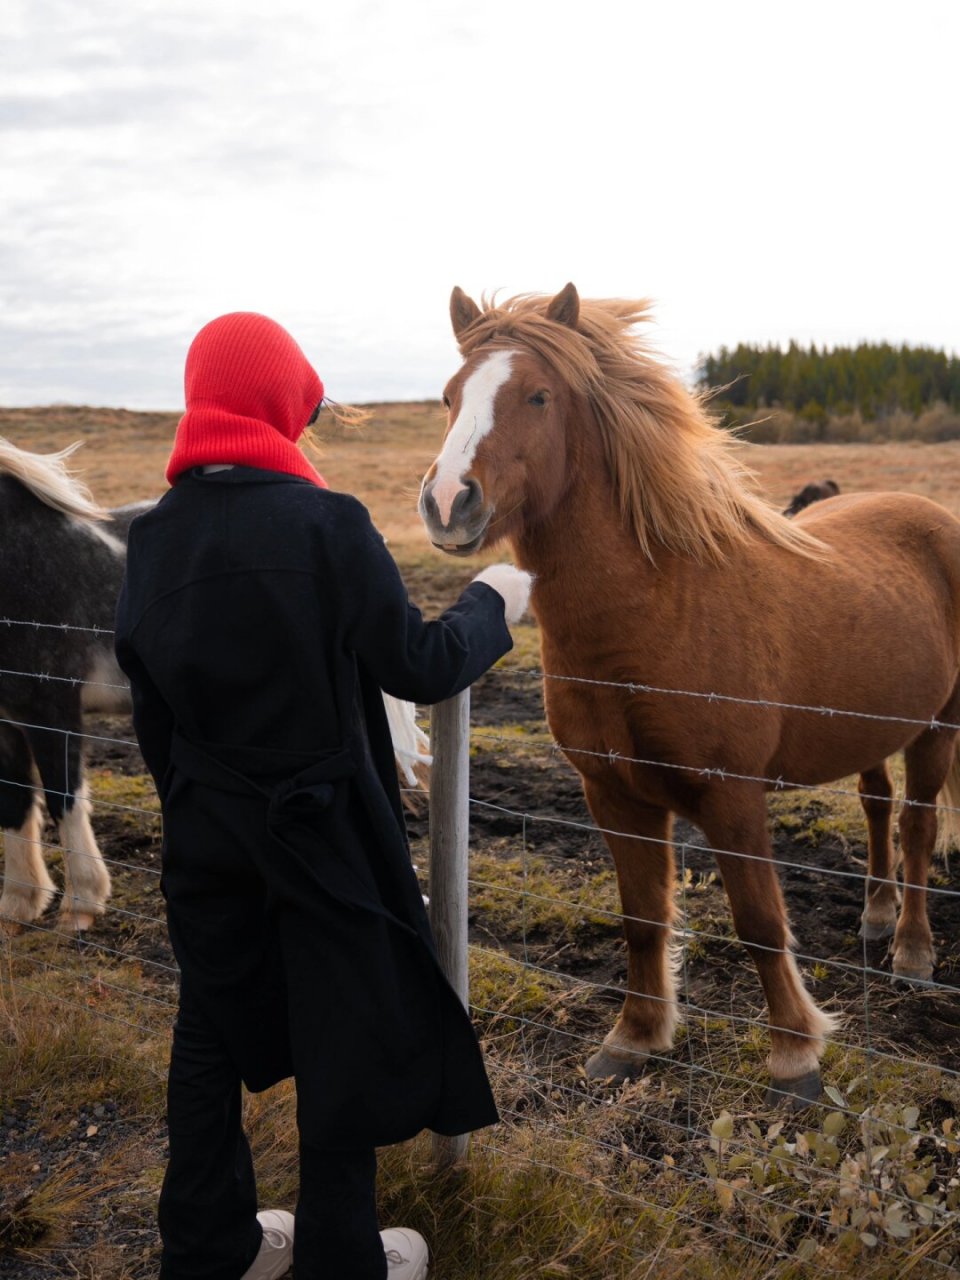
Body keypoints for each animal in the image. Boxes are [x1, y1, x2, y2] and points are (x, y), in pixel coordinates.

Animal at [0, 439, 430, 936]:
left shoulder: (53, 712)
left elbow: (62, 798)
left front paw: (80, 906)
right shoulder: (7, 722)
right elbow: (14, 802)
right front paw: (18, 905)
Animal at [418, 283, 960, 1107]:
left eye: (539, 395)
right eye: (449, 397)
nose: (449, 502)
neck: (655, 613)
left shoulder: (731, 796)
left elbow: (760, 922)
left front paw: (795, 1060)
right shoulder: (612, 793)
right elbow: (642, 918)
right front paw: (633, 1040)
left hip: (938, 727)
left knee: (919, 826)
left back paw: (912, 953)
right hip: (871, 728)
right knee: (877, 808)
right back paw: (873, 917)